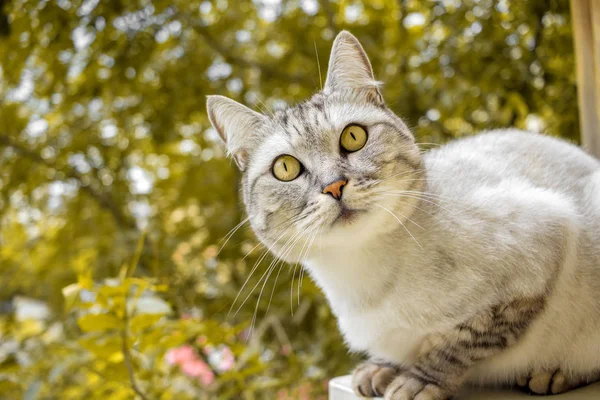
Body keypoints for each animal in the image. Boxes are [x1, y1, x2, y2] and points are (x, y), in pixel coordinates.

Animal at [206, 31, 600, 400]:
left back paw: (553, 375)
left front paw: (417, 381)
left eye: (353, 137)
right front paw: (382, 368)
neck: (361, 276)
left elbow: (458, 343)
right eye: (286, 168)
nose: (334, 186)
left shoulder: (538, 254)